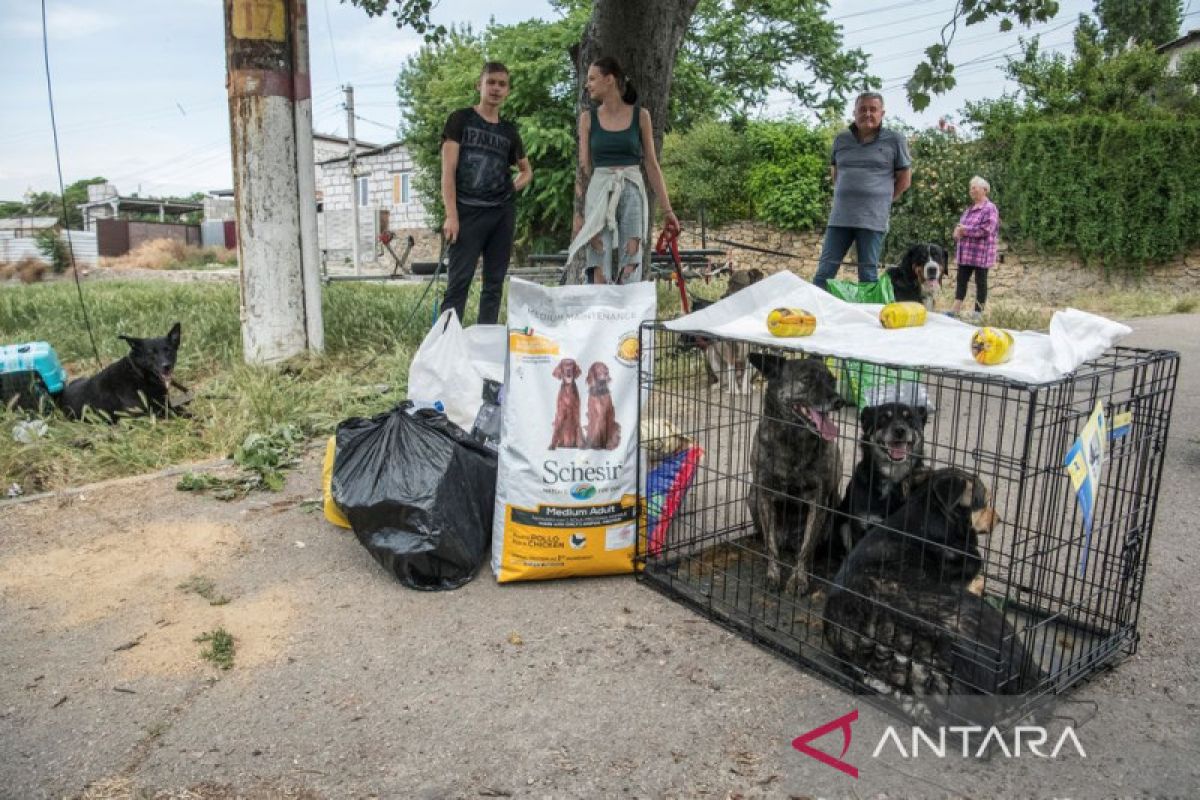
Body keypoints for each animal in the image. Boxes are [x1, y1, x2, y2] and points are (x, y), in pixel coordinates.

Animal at [748, 355, 844, 594]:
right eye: (807, 380)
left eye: (832, 380)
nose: (839, 401)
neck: (793, 438)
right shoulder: (764, 494)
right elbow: (772, 545)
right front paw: (773, 575)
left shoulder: (818, 499)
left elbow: (806, 548)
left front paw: (799, 579)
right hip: (752, 496)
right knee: (769, 539)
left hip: (834, 507)